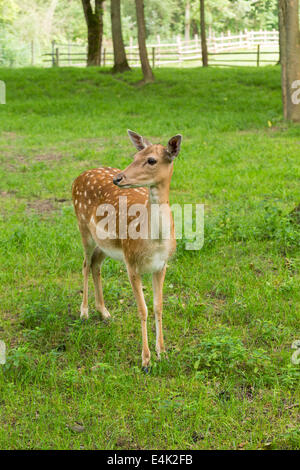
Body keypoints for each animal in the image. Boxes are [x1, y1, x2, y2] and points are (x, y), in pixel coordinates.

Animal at [71, 129, 182, 370]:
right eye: (134, 156)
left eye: (151, 160)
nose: (118, 178)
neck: (155, 241)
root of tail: (78, 176)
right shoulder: (131, 263)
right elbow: (142, 309)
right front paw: (146, 360)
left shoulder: (162, 265)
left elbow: (158, 306)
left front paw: (163, 352)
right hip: (83, 226)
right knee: (84, 263)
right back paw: (84, 312)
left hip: (106, 244)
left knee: (95, 265)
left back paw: (104, 312)